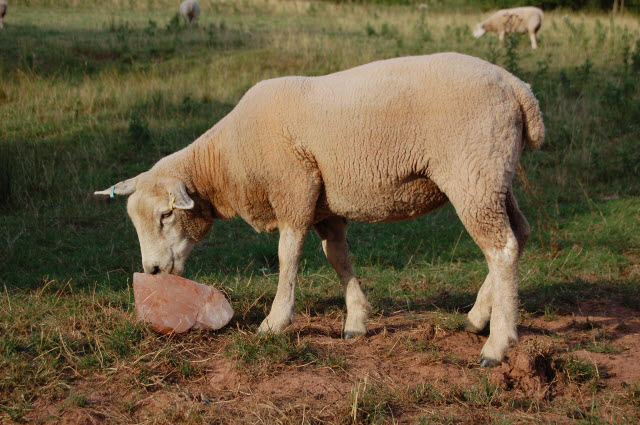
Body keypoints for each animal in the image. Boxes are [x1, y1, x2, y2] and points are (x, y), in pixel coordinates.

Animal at [95, 52, 544, 364]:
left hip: (473, 173)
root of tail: (519, 88)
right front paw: (356, 321)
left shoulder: (293, 187)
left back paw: (497, 344)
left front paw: (275, 322)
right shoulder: (324, 204)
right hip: (495, 175)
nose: (152, 270)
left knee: (500, 248)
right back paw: (477, 317)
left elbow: (287, 256)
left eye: (166, 214)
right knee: (518, 236)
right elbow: (337, 257)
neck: (228, 160)